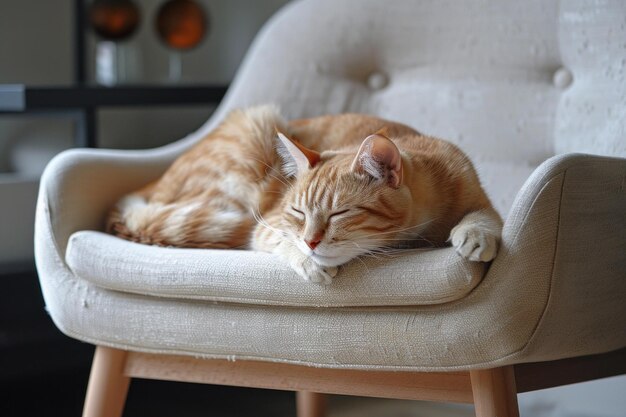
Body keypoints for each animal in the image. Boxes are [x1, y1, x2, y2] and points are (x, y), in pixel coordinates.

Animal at [106, 105, 498, 284]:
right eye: (298, 213)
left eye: (339, 214)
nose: (311, 242)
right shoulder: (267, 225)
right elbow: (279, 239)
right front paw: (307, 259)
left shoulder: (474, 189)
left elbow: (486, 215)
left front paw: (476, 234)